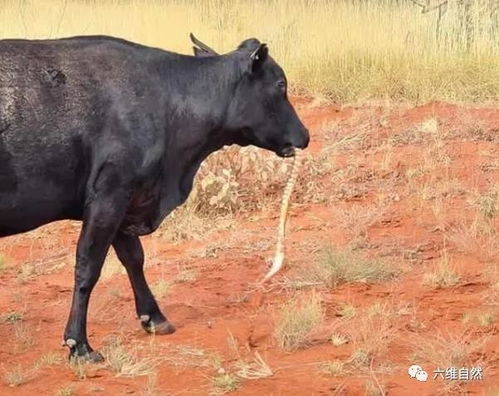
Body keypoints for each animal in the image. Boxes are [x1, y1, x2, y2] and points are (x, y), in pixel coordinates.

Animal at [0, 34, 310, 362]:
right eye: (281, 84)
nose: (305, 134)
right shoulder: (110, 194)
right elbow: (88, 266)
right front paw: (79, 344)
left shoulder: (126, 200)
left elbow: (134, 258)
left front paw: (154, 317)